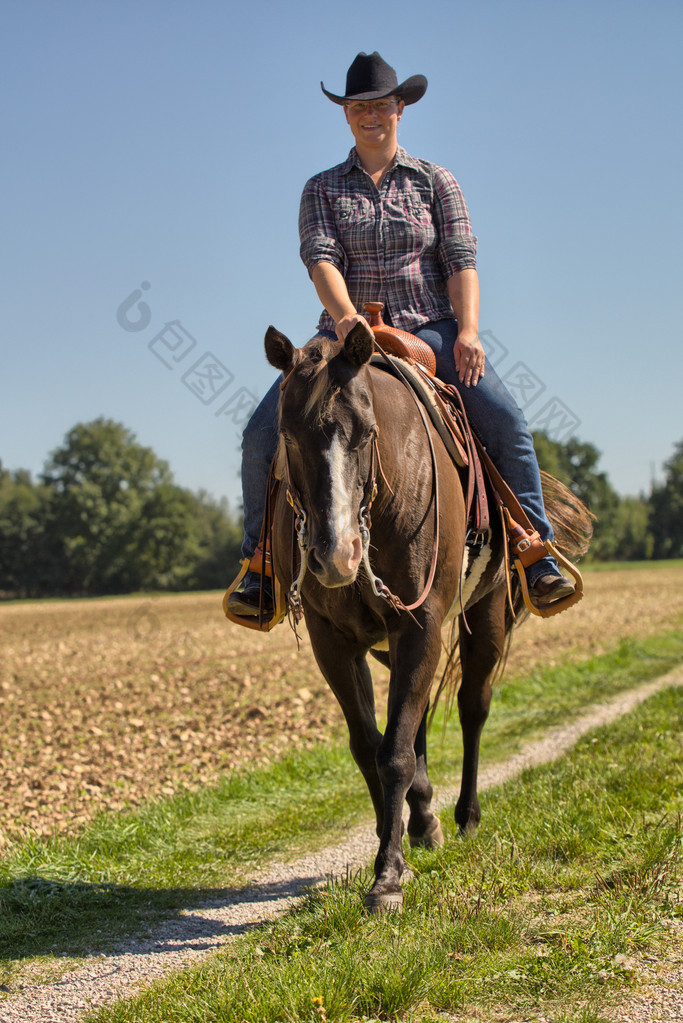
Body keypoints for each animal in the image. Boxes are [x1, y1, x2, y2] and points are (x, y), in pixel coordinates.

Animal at [263, 321, 588, 912]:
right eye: (287, 437)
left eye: (367, 433)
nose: (336, 555)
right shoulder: (333, 641)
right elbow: (371, 744)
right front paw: (393, 837)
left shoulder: (421, 625)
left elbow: (394, 751)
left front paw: (389, 875)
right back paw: (422, 819)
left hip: (485, 616)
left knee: (472, 707)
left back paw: (465, 817)